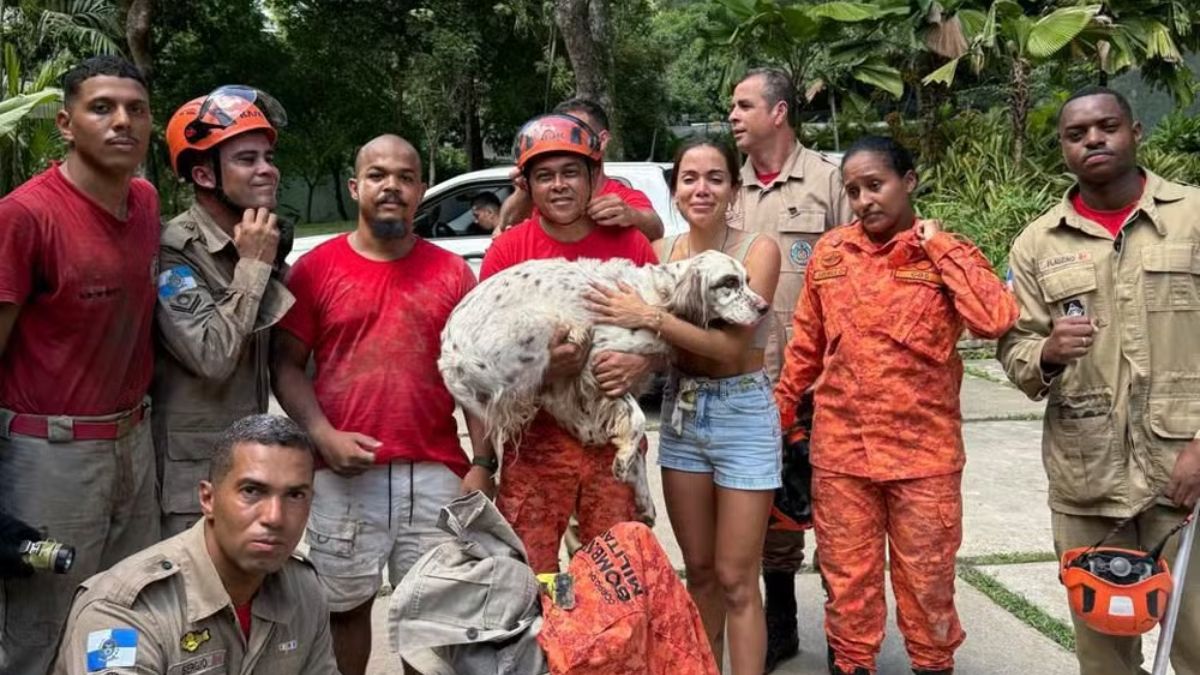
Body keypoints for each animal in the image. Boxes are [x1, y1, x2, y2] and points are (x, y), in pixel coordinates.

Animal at [441, 249, 768, 523]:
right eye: (729, 282)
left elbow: (637, 445)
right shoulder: (598, 358)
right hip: (541, 325)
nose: (764, 307)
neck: (659, 296)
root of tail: (447, 350)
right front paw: (622, 460)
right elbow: (636, 419)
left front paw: (642, 496)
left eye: (747, 281)